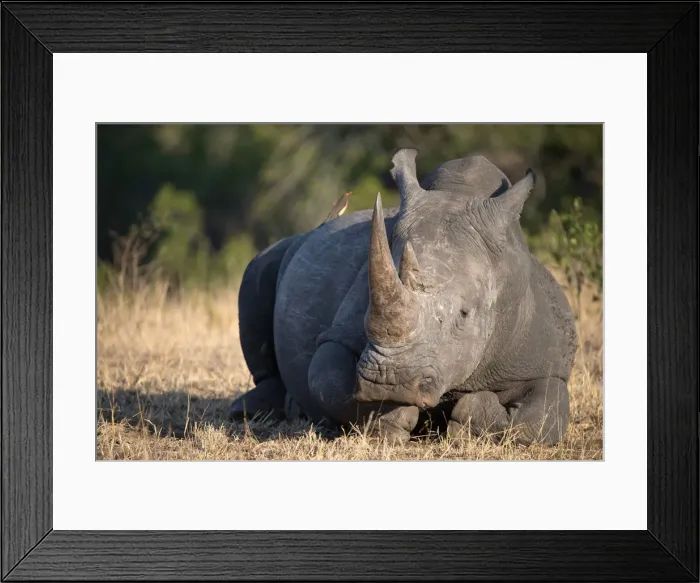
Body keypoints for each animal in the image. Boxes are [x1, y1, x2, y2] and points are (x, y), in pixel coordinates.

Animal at [229, 149, 577, 445]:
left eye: (464, 314)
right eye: (369, 304)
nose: (390, 381)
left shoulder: (545, 361)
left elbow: (542, 419)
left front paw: (465, 419)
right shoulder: (338, 336)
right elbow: (328, 382)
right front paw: (392, 416)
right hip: (287, 250)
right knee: (260, 270)